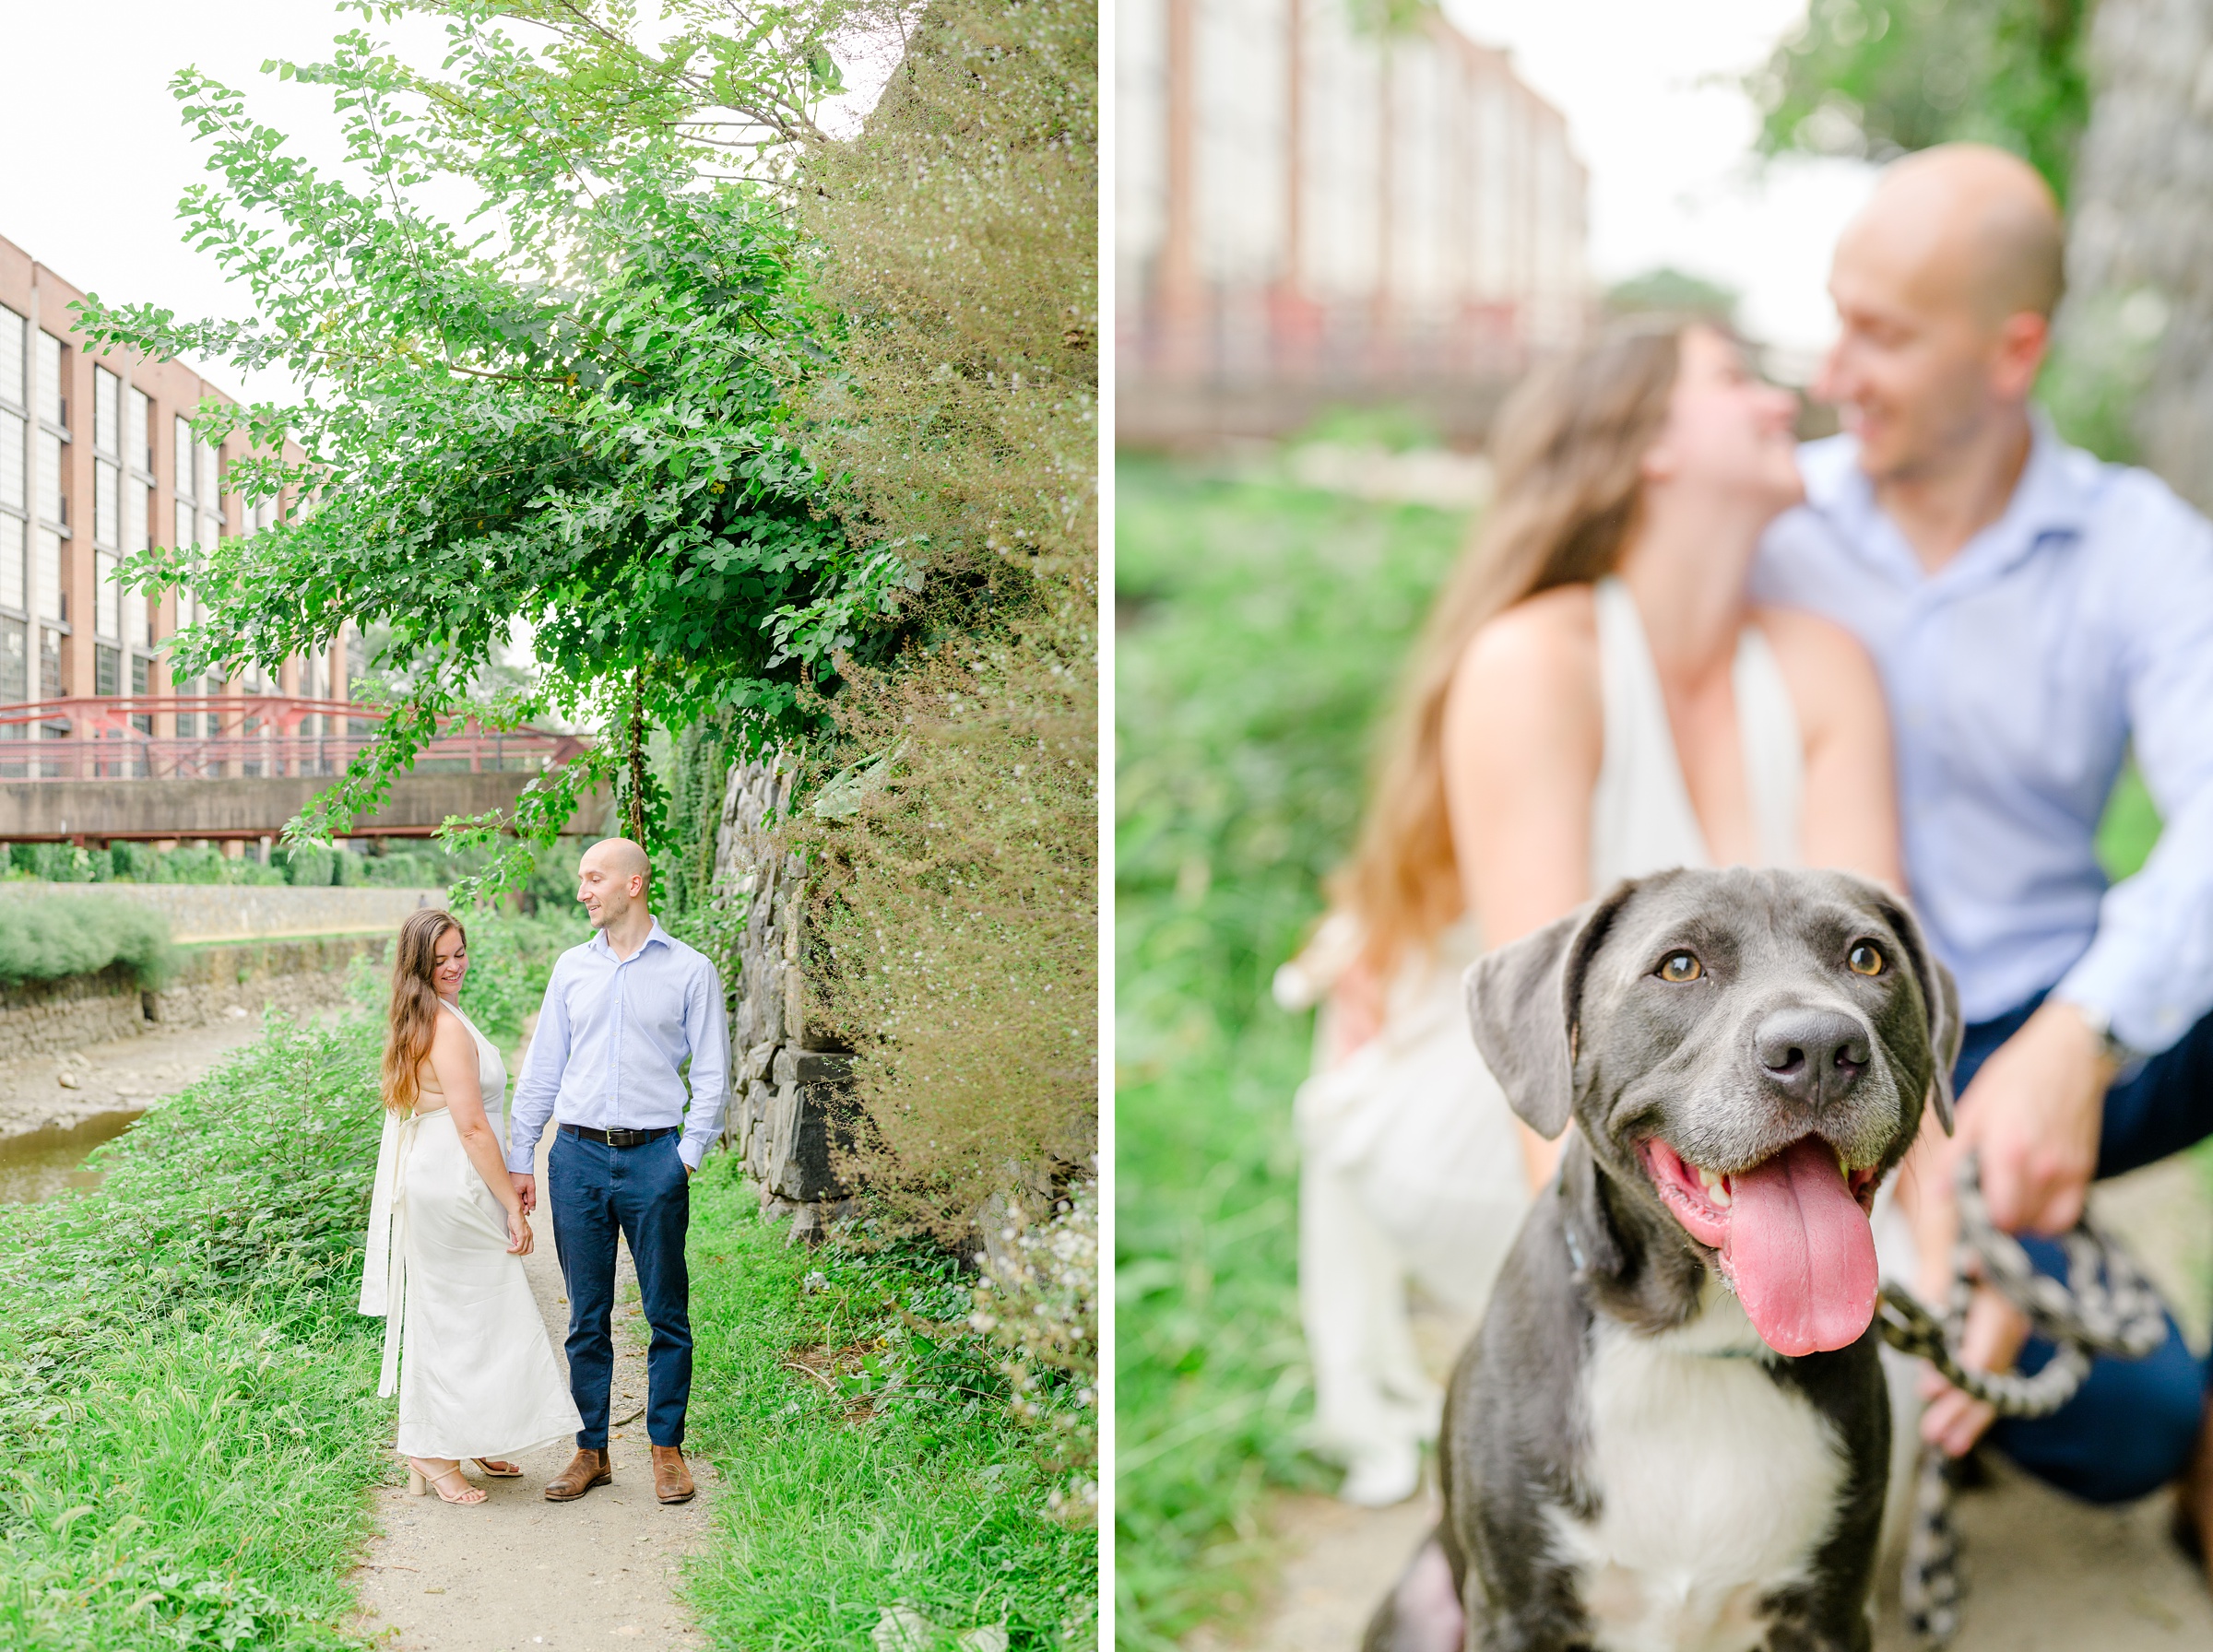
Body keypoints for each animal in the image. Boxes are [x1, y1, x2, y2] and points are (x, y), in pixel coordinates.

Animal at [1363, 871, 1956, 1645]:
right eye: (1679, 966)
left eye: (1867, 958)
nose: (1821, 1048)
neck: (1694, 1347)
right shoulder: (1518, 1612)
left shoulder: (1831, 1612)